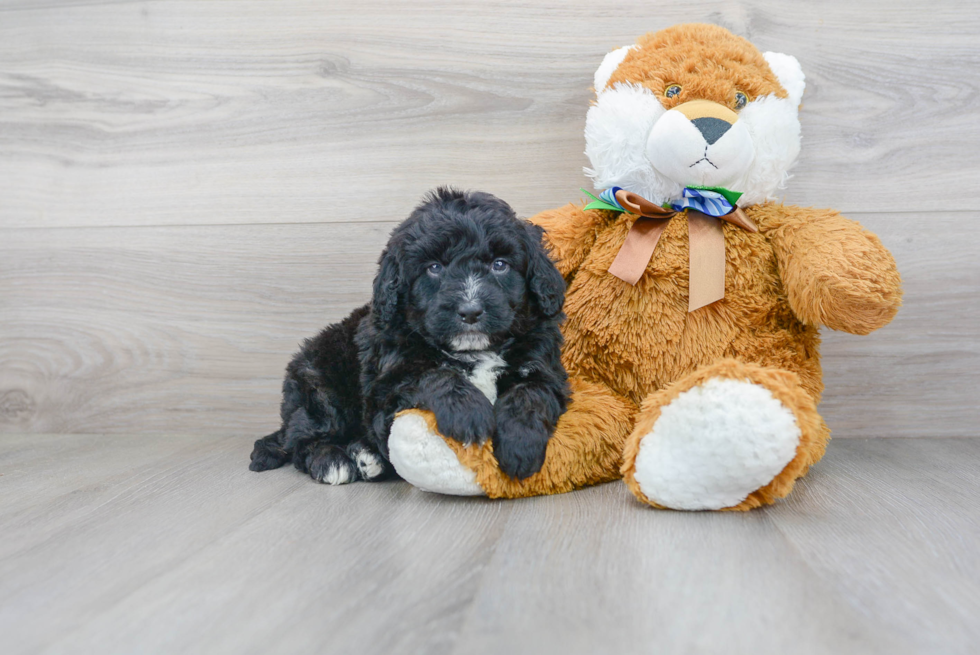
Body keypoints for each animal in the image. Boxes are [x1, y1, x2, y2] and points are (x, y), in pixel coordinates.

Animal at [249, 187, 572, 484]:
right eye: (434, 268)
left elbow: (530, 392)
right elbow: (430, 374)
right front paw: (468, 413)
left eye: (500, 265)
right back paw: (332, 460)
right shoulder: (385, 391)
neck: (473, 352)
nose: (470, 311)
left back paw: (366, 455)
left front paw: (520, 445)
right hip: (319, 385)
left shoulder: (543, 365)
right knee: (301, 440)